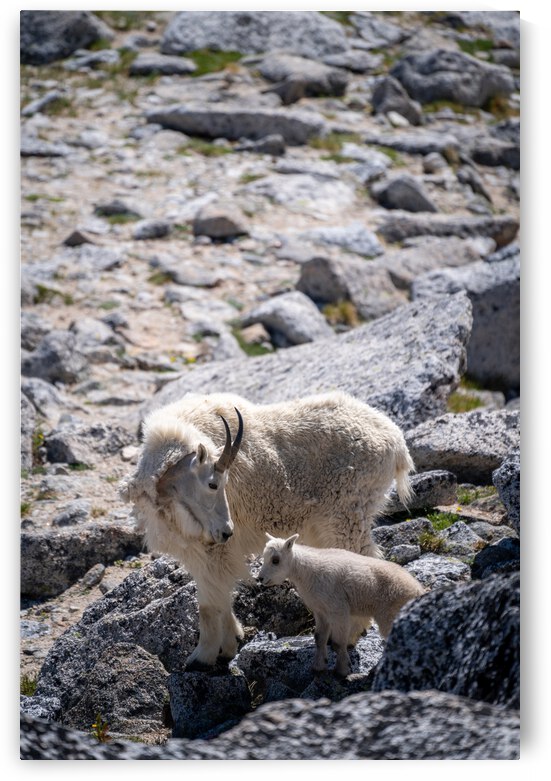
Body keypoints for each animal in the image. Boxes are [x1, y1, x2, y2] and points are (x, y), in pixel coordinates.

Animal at [119, 390, 415, 668]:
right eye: (213, 483)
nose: (227, 531)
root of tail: (396, 443)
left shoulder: (212, 550)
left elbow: (208, 604)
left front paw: (201, 658)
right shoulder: (198, 548)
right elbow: (219, 597)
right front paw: (229, 644)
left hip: (346, 515)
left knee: (363, 561)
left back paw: (350, 634)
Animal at [258, 533, 426, 677]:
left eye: (275, 560)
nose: (260, 579)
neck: (306, 572)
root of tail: (418, 590)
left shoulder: (338, 608)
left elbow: (339, 643)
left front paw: (342, 669)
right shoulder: (321, 611)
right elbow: (319, 638)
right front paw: (319, 666)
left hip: (390, 615)